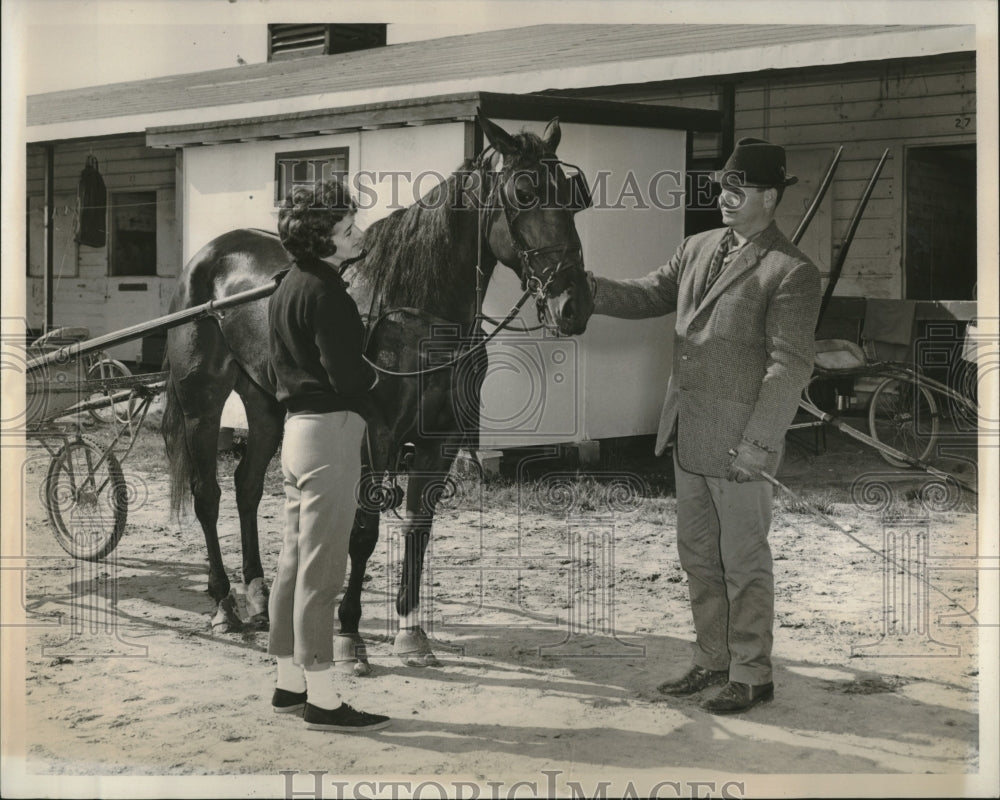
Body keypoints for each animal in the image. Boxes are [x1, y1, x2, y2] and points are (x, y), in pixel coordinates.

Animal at [160, 115, 588, 672]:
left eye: (573, 195)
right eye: (525, 191)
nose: (575, 304)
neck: (416, 314)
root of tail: (210, 254)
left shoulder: (440, 441)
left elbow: (417, 528)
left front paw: (411, 631)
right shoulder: (375, 438)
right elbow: (362, 533)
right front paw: (349, 635)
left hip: (266, 405)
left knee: (246, 485)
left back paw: (257, 594)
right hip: (203, 401)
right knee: (206, 495)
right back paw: (224, 604)